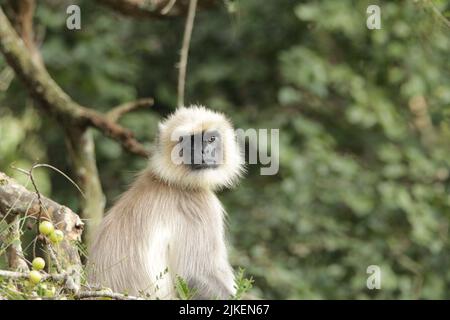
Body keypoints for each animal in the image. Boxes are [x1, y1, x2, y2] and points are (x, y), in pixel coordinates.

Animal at [87, 106, 243, 298]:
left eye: (211, 139)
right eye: (190, 141)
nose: (203, 153)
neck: (173, 183)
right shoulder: (200, 206)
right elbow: (194, 275)